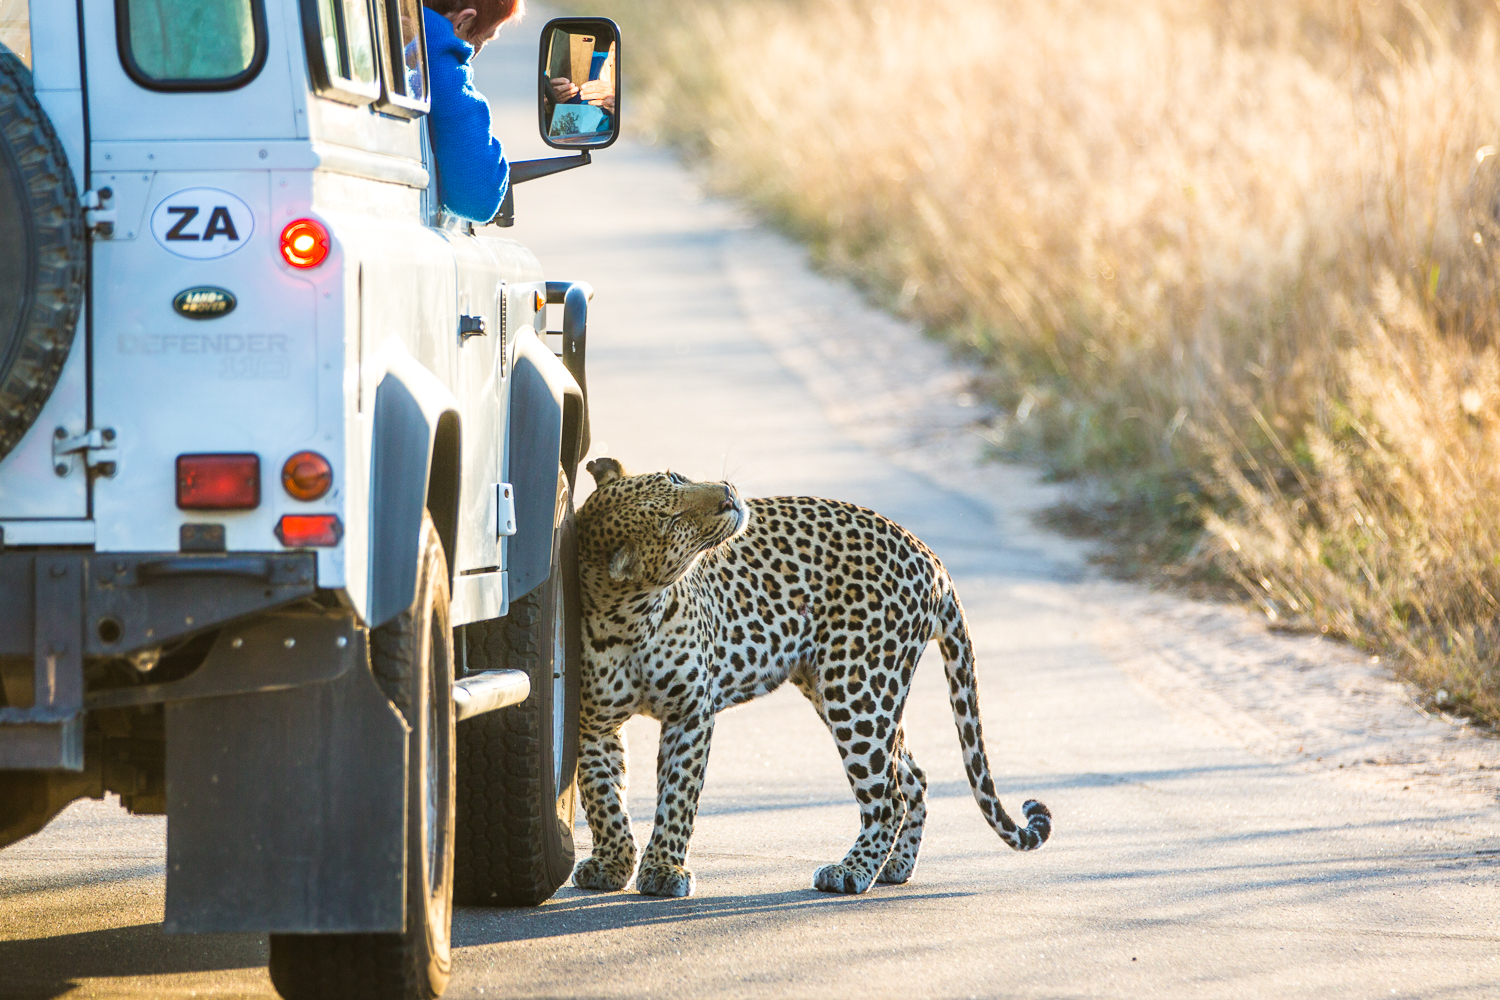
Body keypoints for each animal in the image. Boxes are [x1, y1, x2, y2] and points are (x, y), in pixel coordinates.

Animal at [570, 457, 1051, 898]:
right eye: (672, 522)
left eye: (675, 477)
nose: (728, 495)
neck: (633, 615)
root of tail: (929, 557)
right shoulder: (593, 724)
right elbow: (602, 794)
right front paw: (612, 863)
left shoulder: (689, 713)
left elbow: (677, 794)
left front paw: (664, 870)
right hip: (847, 688)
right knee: (910, 778)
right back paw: (893, 866)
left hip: (858, 688)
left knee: (888, 796)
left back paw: (852, 871)